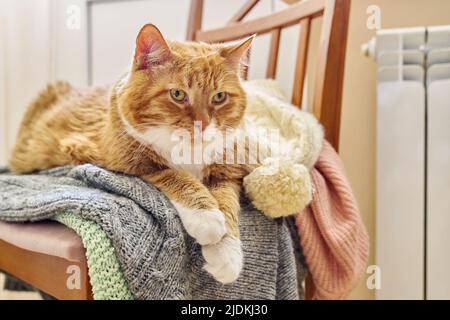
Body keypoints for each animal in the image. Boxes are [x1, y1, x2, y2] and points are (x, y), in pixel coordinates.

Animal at [9, 23, 256, 284]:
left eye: (219, 97)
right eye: (178, 94)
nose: (203, 124)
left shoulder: (226, 172)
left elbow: (227, 202)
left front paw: (226, 253)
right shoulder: (128, 161)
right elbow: (175, 176)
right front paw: (206, 216)